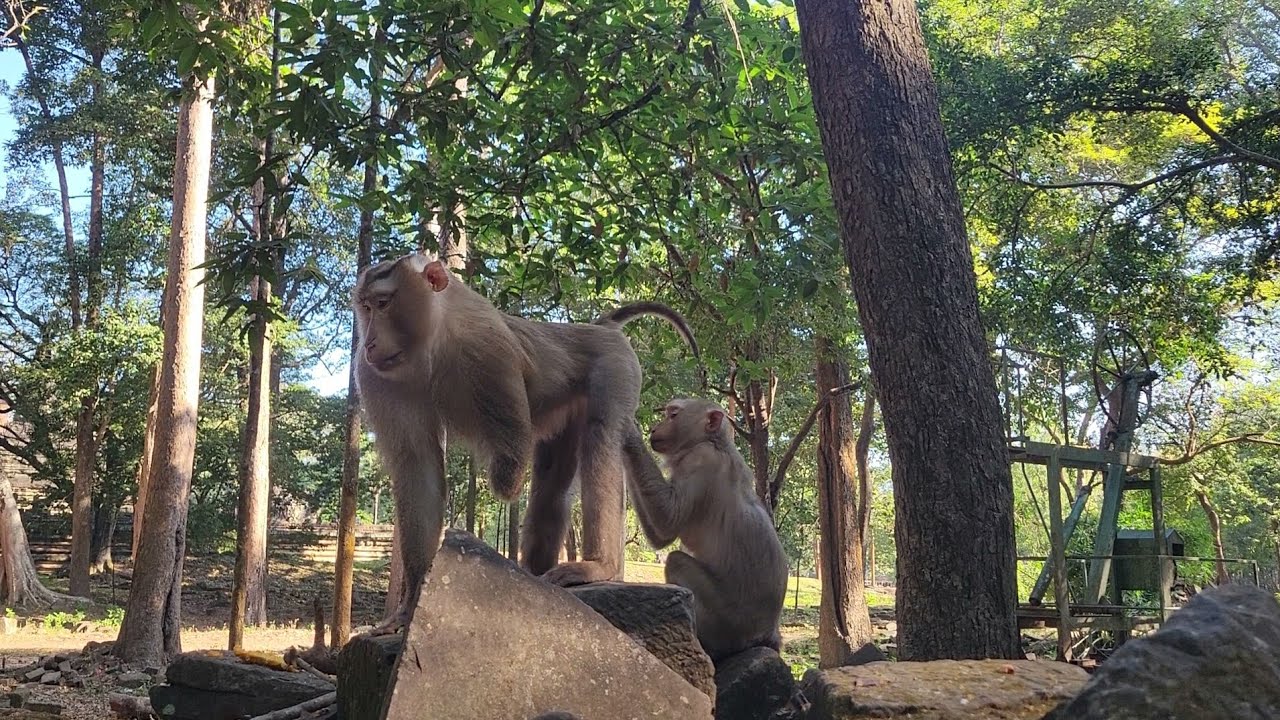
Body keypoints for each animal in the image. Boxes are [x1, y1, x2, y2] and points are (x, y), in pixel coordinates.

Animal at [352, 252, 699, 633]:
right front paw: (410, 602)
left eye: (383, 304)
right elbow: (418, 466)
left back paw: (598, 566)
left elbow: (512, 463)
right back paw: (534, 575)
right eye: (365, 307)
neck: (431, 343)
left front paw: (503, 478)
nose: (368, 343)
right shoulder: (376, 378)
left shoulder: (487, 348)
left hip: (616, 366)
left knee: (601, 438)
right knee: (555, 483)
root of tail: (600, 327)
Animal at [620, 398, 789, 662]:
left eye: (673, 415)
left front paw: (629, 431)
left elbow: (667, 525)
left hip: (728, 620)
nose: (655, 428)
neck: (713, 442)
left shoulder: (700, 461)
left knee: (676, 561)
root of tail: (767, 631)